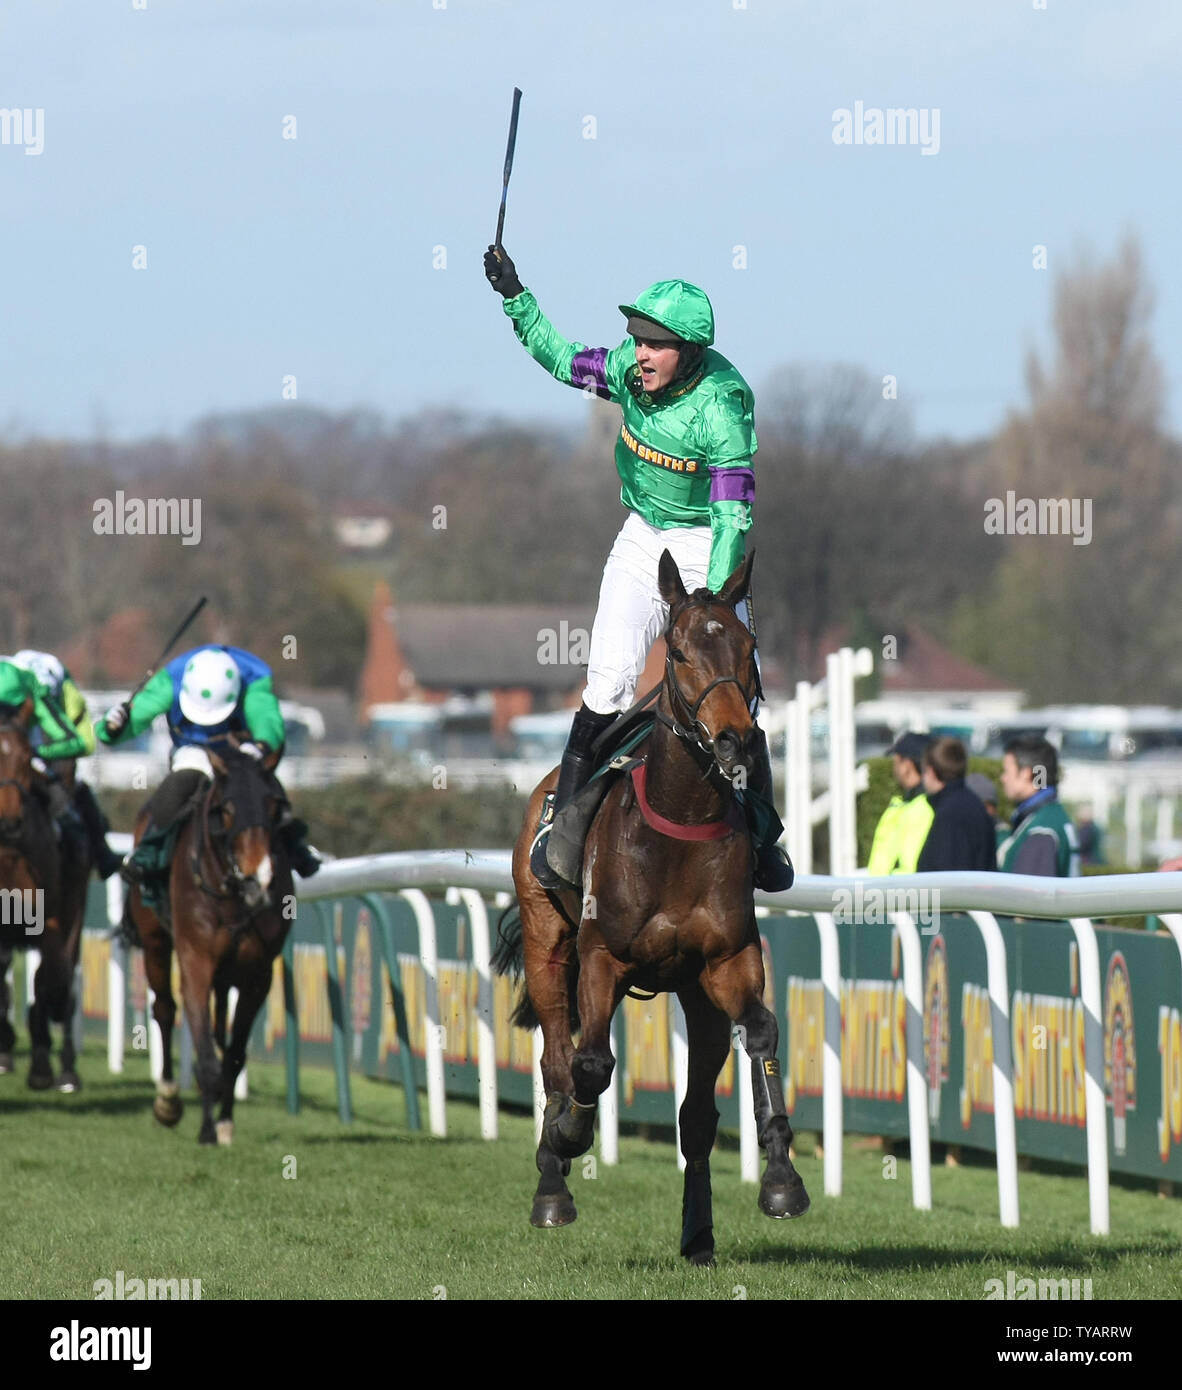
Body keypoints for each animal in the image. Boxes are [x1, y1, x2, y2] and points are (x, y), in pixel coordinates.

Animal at [124, 739, 292, 1139]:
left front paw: (225, 1122)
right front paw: (206, 1131)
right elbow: (203, 1052)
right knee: (164, 1009)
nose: (258, 879)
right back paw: (168, 1100)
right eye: (226, 809)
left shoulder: (258, 973)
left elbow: (234, 1052)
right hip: (155, 941)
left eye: (274, 805)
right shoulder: (195, 961)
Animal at [503, 547, 806, 1267]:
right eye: (680, 651)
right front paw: (569, 1136)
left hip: (696, 995)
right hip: (547, 944)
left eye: (749, 649)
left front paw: (781, 1176)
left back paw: (698, 1236)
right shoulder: (601, 957)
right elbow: (588, 1064)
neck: (679, 823)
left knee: (696, 1118)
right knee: (556, 1061)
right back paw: (552, 1184)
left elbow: (762, 1033)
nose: (735, 741)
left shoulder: (728, 959)